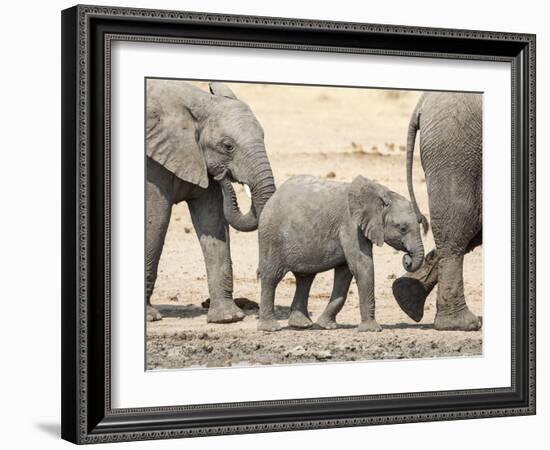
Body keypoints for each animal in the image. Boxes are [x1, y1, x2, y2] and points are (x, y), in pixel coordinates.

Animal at [147, 79, 276, 322]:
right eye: (228, 146)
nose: (223, 175)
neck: (200, 102)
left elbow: (213, 220)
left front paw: (228, 318)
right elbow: (156, 219)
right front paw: (149, 317)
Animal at [258, 175, 426, 330]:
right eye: (403, 228)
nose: (407, 259)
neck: (382, 193)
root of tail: (273, 197)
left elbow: (345, 274)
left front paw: (326, 326)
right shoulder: (350, 225)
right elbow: (362, 266)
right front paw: (371, 329)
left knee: (305, 279)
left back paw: (302, 325)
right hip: (271, 236)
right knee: (271, 277)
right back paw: (270, 327)